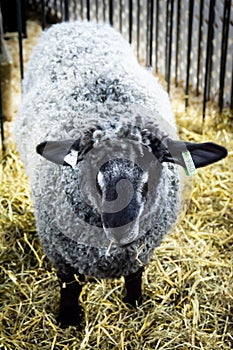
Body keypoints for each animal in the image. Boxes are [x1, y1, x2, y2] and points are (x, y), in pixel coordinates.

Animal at [13, 20, 227, 326]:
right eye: (90, 163)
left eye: (155, 163)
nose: (121, 227)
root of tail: (76, 22)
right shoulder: (59, 251)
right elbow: (70, 286)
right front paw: (68, 319)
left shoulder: (141, 250)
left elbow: (135, 277)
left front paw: (135, 303)